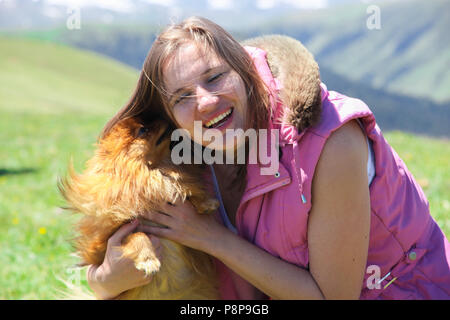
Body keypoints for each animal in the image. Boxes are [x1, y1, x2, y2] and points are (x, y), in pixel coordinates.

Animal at [59, 118, 221, 300]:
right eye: (143, 130)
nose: (162, 118)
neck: (150, 169)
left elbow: (184, 188)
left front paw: (206, 202)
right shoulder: (109, 239)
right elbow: (139, 236)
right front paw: (148, 260)